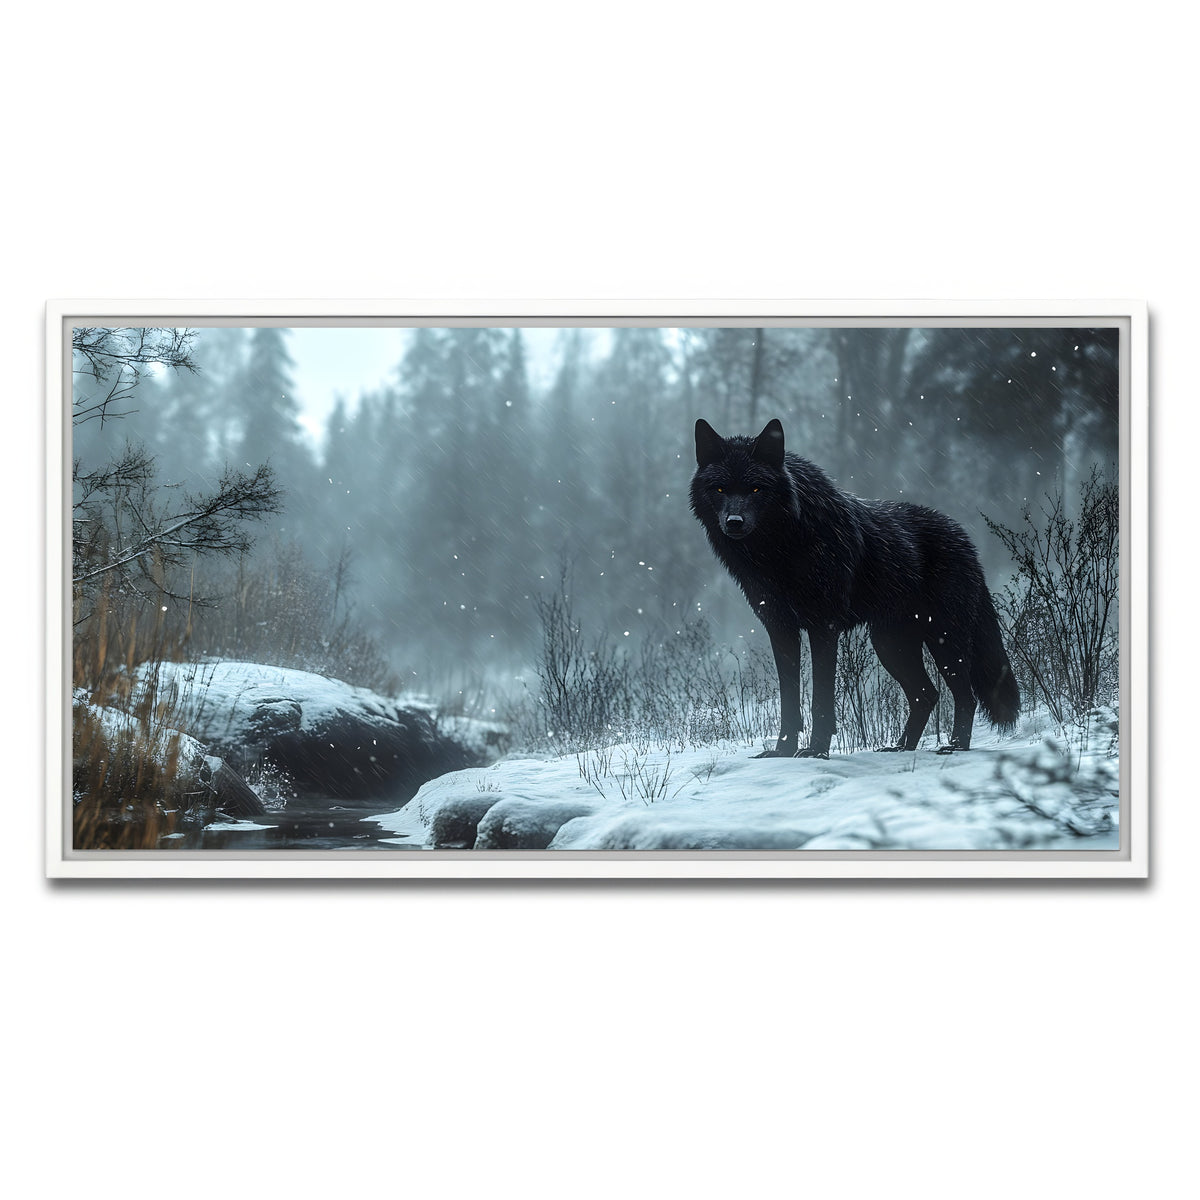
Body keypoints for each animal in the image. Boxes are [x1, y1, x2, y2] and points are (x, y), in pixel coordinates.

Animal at [690, 418, 1019, 757]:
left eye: (756, 488)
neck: (779, 551)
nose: (734, 522)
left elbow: (820, 698)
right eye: (720, 489)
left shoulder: (824, 626)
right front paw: (782, 752)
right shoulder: (780, 629)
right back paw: (901, 748)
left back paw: (954, 747)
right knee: (926, 694)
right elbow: (788, 701)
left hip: (943, 640)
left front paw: (816, 751)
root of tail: (966, 539)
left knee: (965, 695)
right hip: (889, 644)